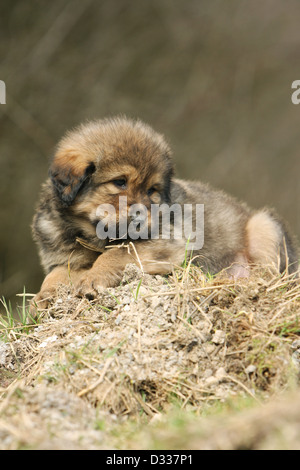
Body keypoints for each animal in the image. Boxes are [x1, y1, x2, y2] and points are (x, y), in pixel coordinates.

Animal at [30, 115, 298, 310]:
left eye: (152, 190)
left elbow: (117, 253)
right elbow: (56, 274)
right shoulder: (63, 254)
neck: (90, 233)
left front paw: (93, 279)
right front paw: (43, 298)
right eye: (119, 182)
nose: (141, 218)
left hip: (263, 225)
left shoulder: (167, 241)